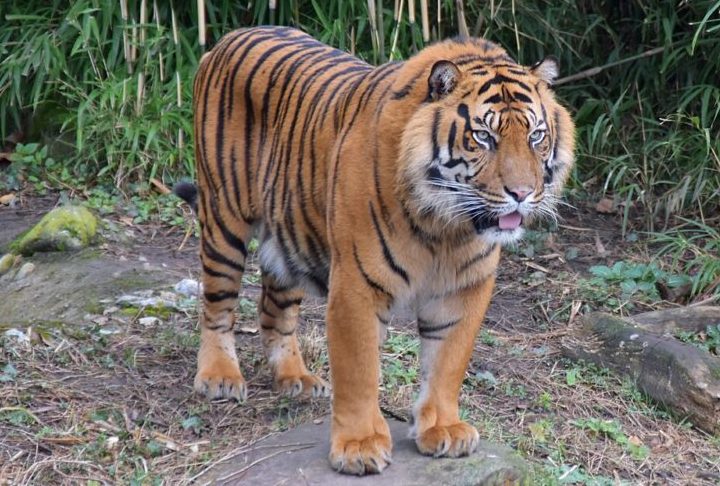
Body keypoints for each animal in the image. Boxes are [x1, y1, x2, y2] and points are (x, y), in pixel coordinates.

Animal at [174, 25, 575, 475]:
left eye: (536, 136)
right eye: (483, 137)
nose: (521, 194)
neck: (446, 227)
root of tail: (229, 38)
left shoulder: (463, 290)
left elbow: (447, 363)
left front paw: (442, 429)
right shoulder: (357, 285)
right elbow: (359, 370)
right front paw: (359, 445)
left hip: (289, 236)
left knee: (275, 310)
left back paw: (296, 379)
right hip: (224, 220)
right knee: (217, 304)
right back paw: (220, 377)